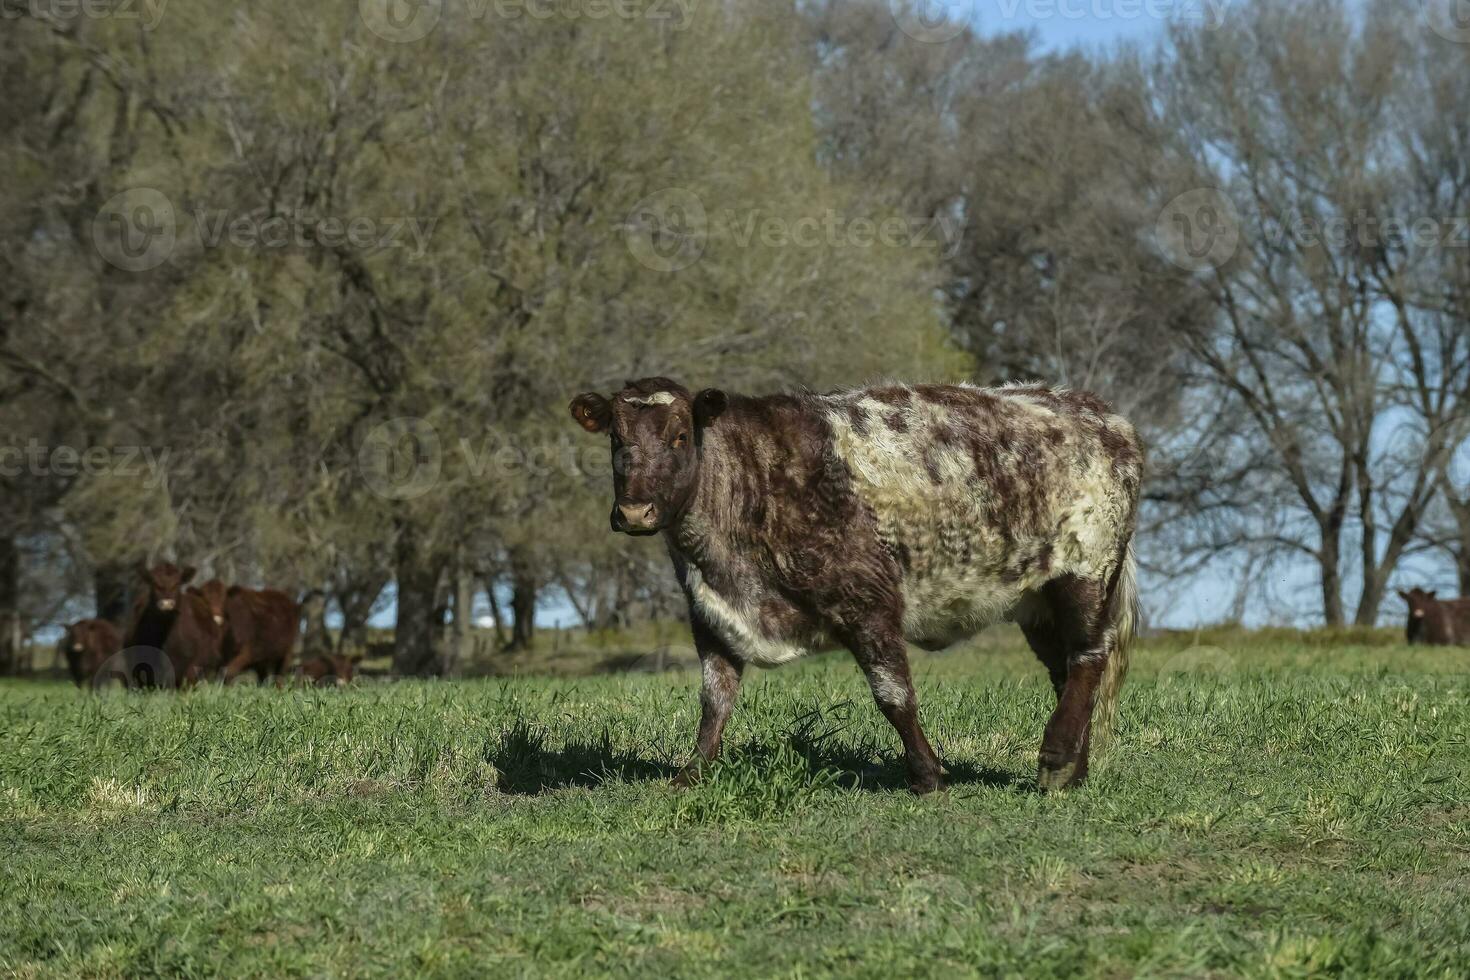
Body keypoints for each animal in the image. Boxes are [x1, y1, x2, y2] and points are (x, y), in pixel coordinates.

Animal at [567, 379, 1140, 793]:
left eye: (680, 436)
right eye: (616, 438)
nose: (634, 512)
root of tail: (1098, 413)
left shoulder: (869, 603)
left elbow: (894, 697)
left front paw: (927, 776)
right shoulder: (710, 614)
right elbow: (715, 702)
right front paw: (691, 774)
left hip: (1085, 572)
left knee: (1088, 656)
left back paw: (1057, 759)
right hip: (1037, 599)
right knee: (1066, 671)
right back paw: (1075, 770)